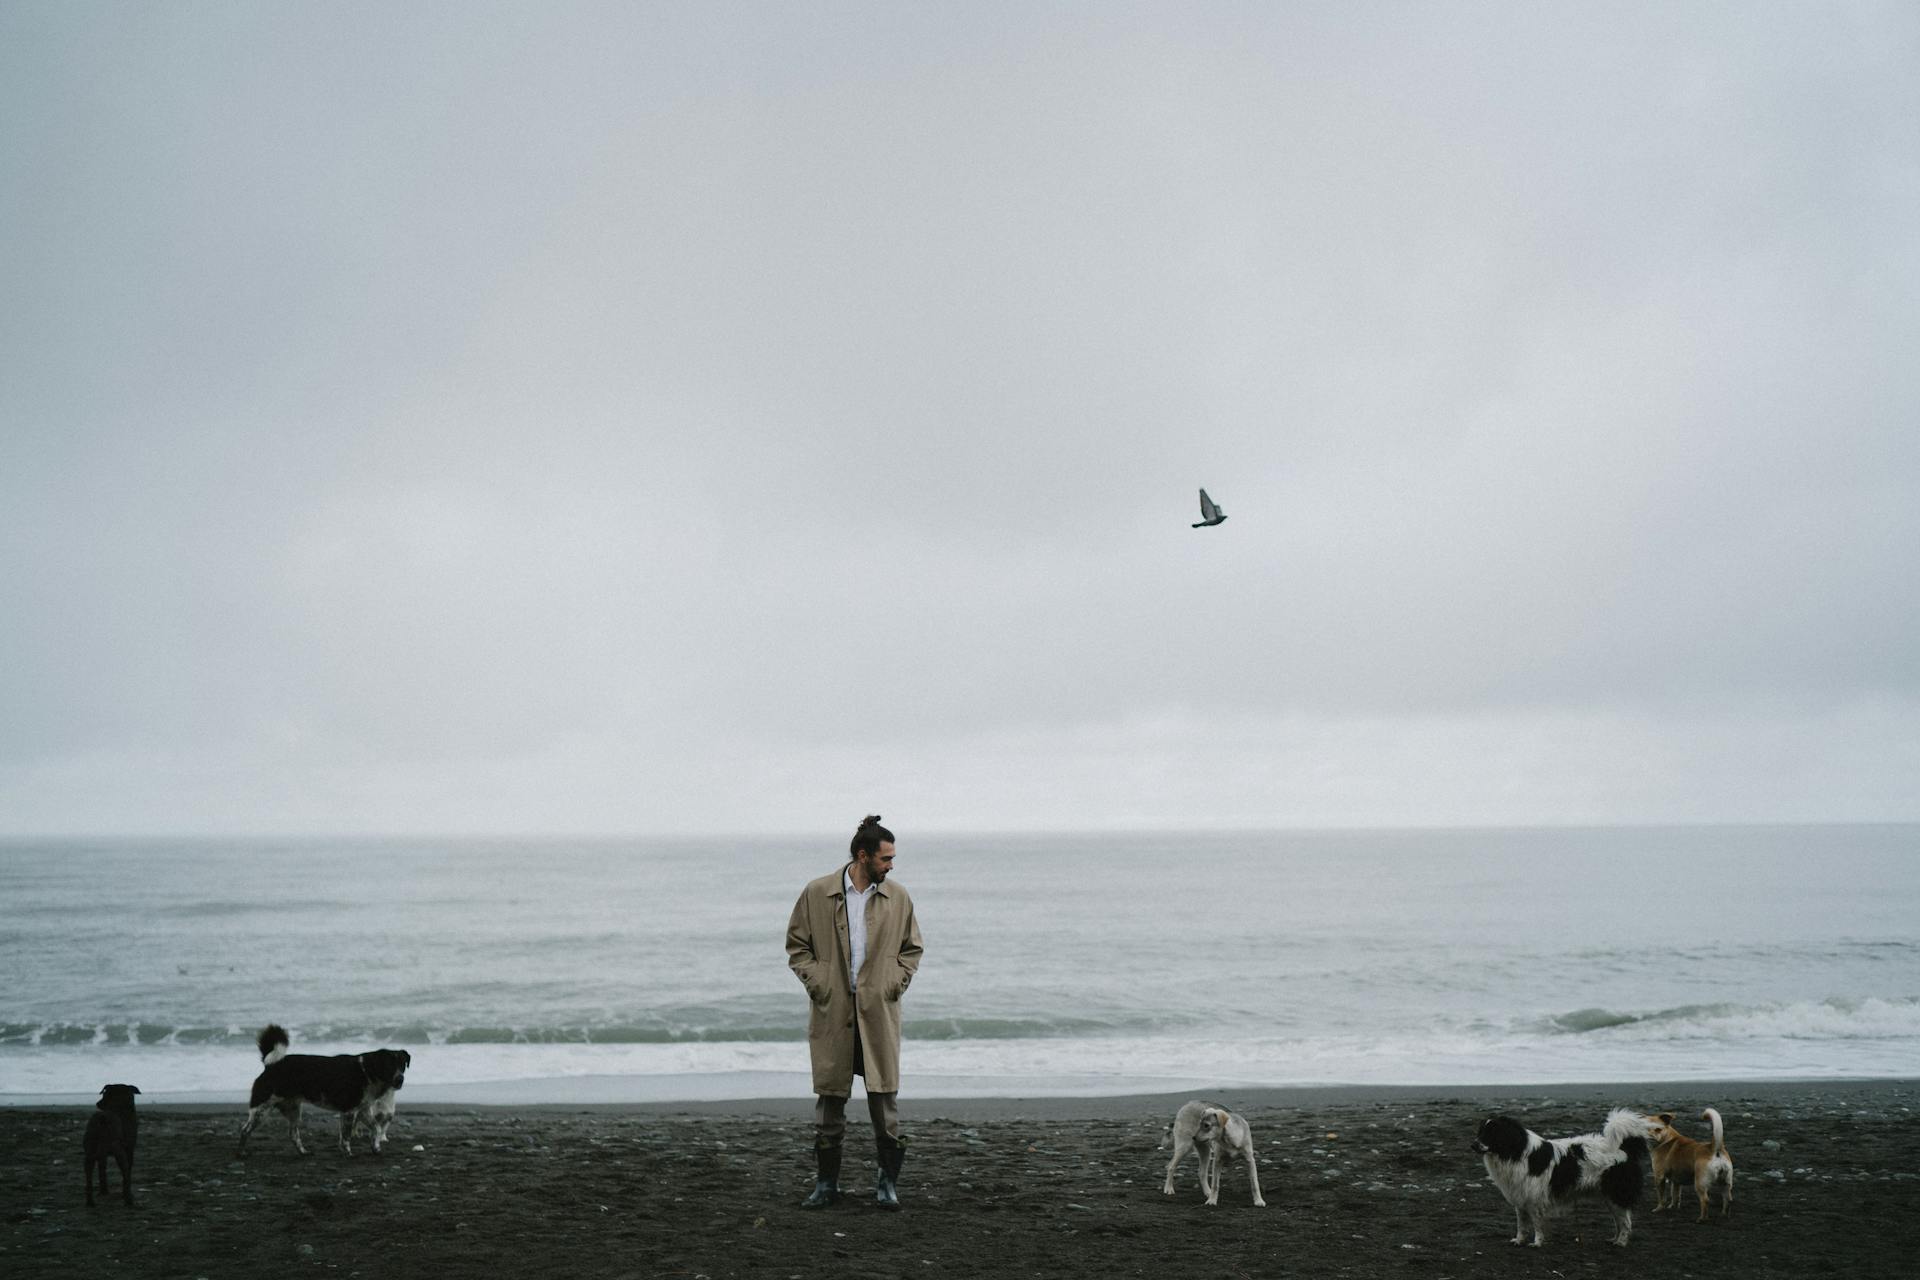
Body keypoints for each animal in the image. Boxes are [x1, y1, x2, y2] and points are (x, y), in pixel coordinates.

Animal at [238, 1020, 410, 1159]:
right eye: (389, 1066)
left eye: (402, 1065)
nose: (400, 1080)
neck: (368, 1071)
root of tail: (270, 1066)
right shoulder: (349, 1112)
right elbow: (346, 1137)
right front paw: (348, 1153)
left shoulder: (363, 1111)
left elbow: (376, 1129)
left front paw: (376, 1148)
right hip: (261, 1110)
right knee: (245, 1130)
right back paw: (241, 1153)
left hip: (294, 1111)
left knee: (293, 1134)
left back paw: (303, 1152)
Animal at [1466, 1105, 1651, 1243]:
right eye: (1480, 1131)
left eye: (1491, 1133)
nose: (1473, 1145)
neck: (1515, 1152)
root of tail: (1624, 1148)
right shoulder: (1520, 1197)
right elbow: (1521, 1224)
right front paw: (1519, 1240)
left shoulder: (1535, 1199)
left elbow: (1537, 1224)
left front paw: (1537, 1243)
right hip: (1608, 1197)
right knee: (1618, 1221)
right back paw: (1614, 1239)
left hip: (1616, 1194)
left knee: (1626, 1222)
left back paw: (1621, 1242)